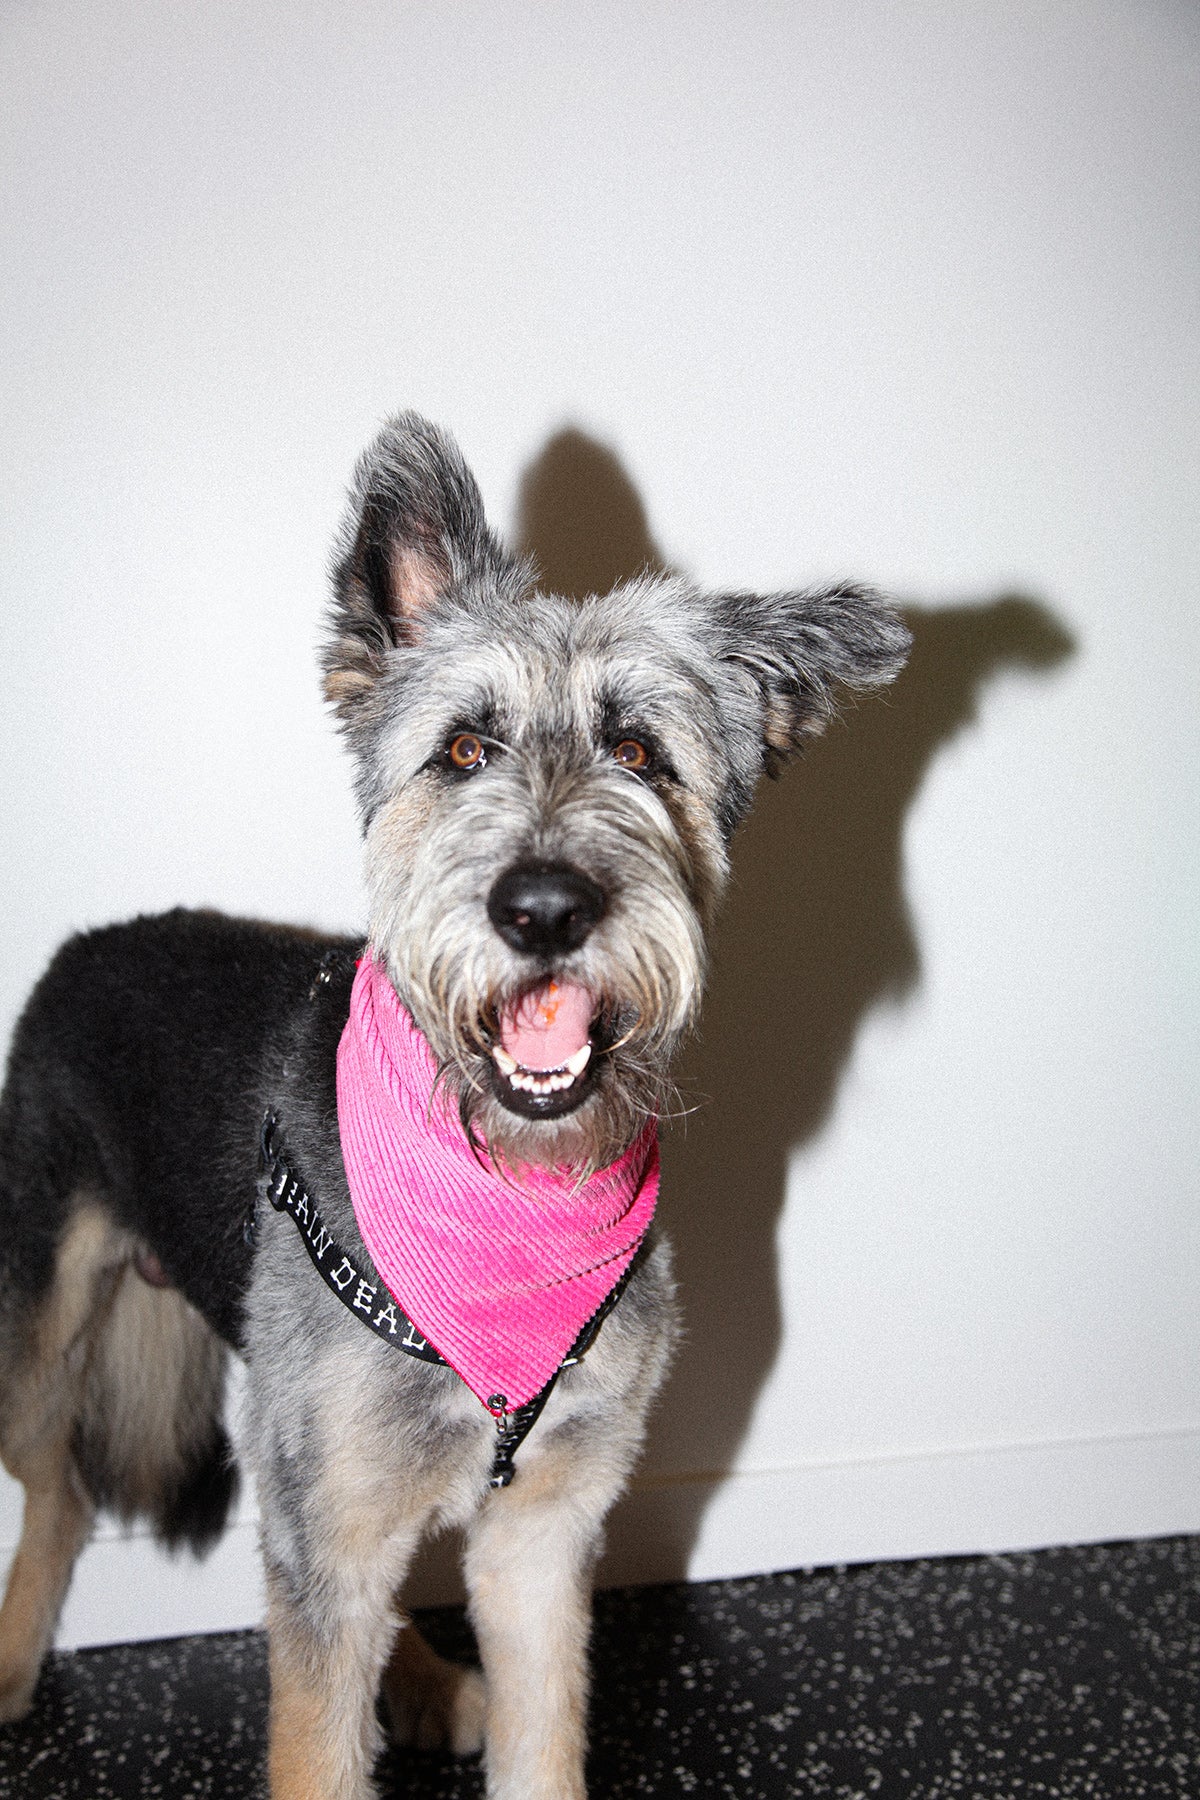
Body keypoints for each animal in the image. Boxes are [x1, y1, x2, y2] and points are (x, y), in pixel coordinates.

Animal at [0, 414, 910, 1792]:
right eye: (464, 752)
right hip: (43, 1336)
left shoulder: (545, 1531)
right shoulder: (325, 1532)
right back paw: (11, 1656)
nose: (543, 909)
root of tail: (91, 942)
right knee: (56, 1490)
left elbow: (542, 1735)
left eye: (640, 755)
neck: (506, 1200)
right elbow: (316, 1746)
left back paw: (425, 1679)